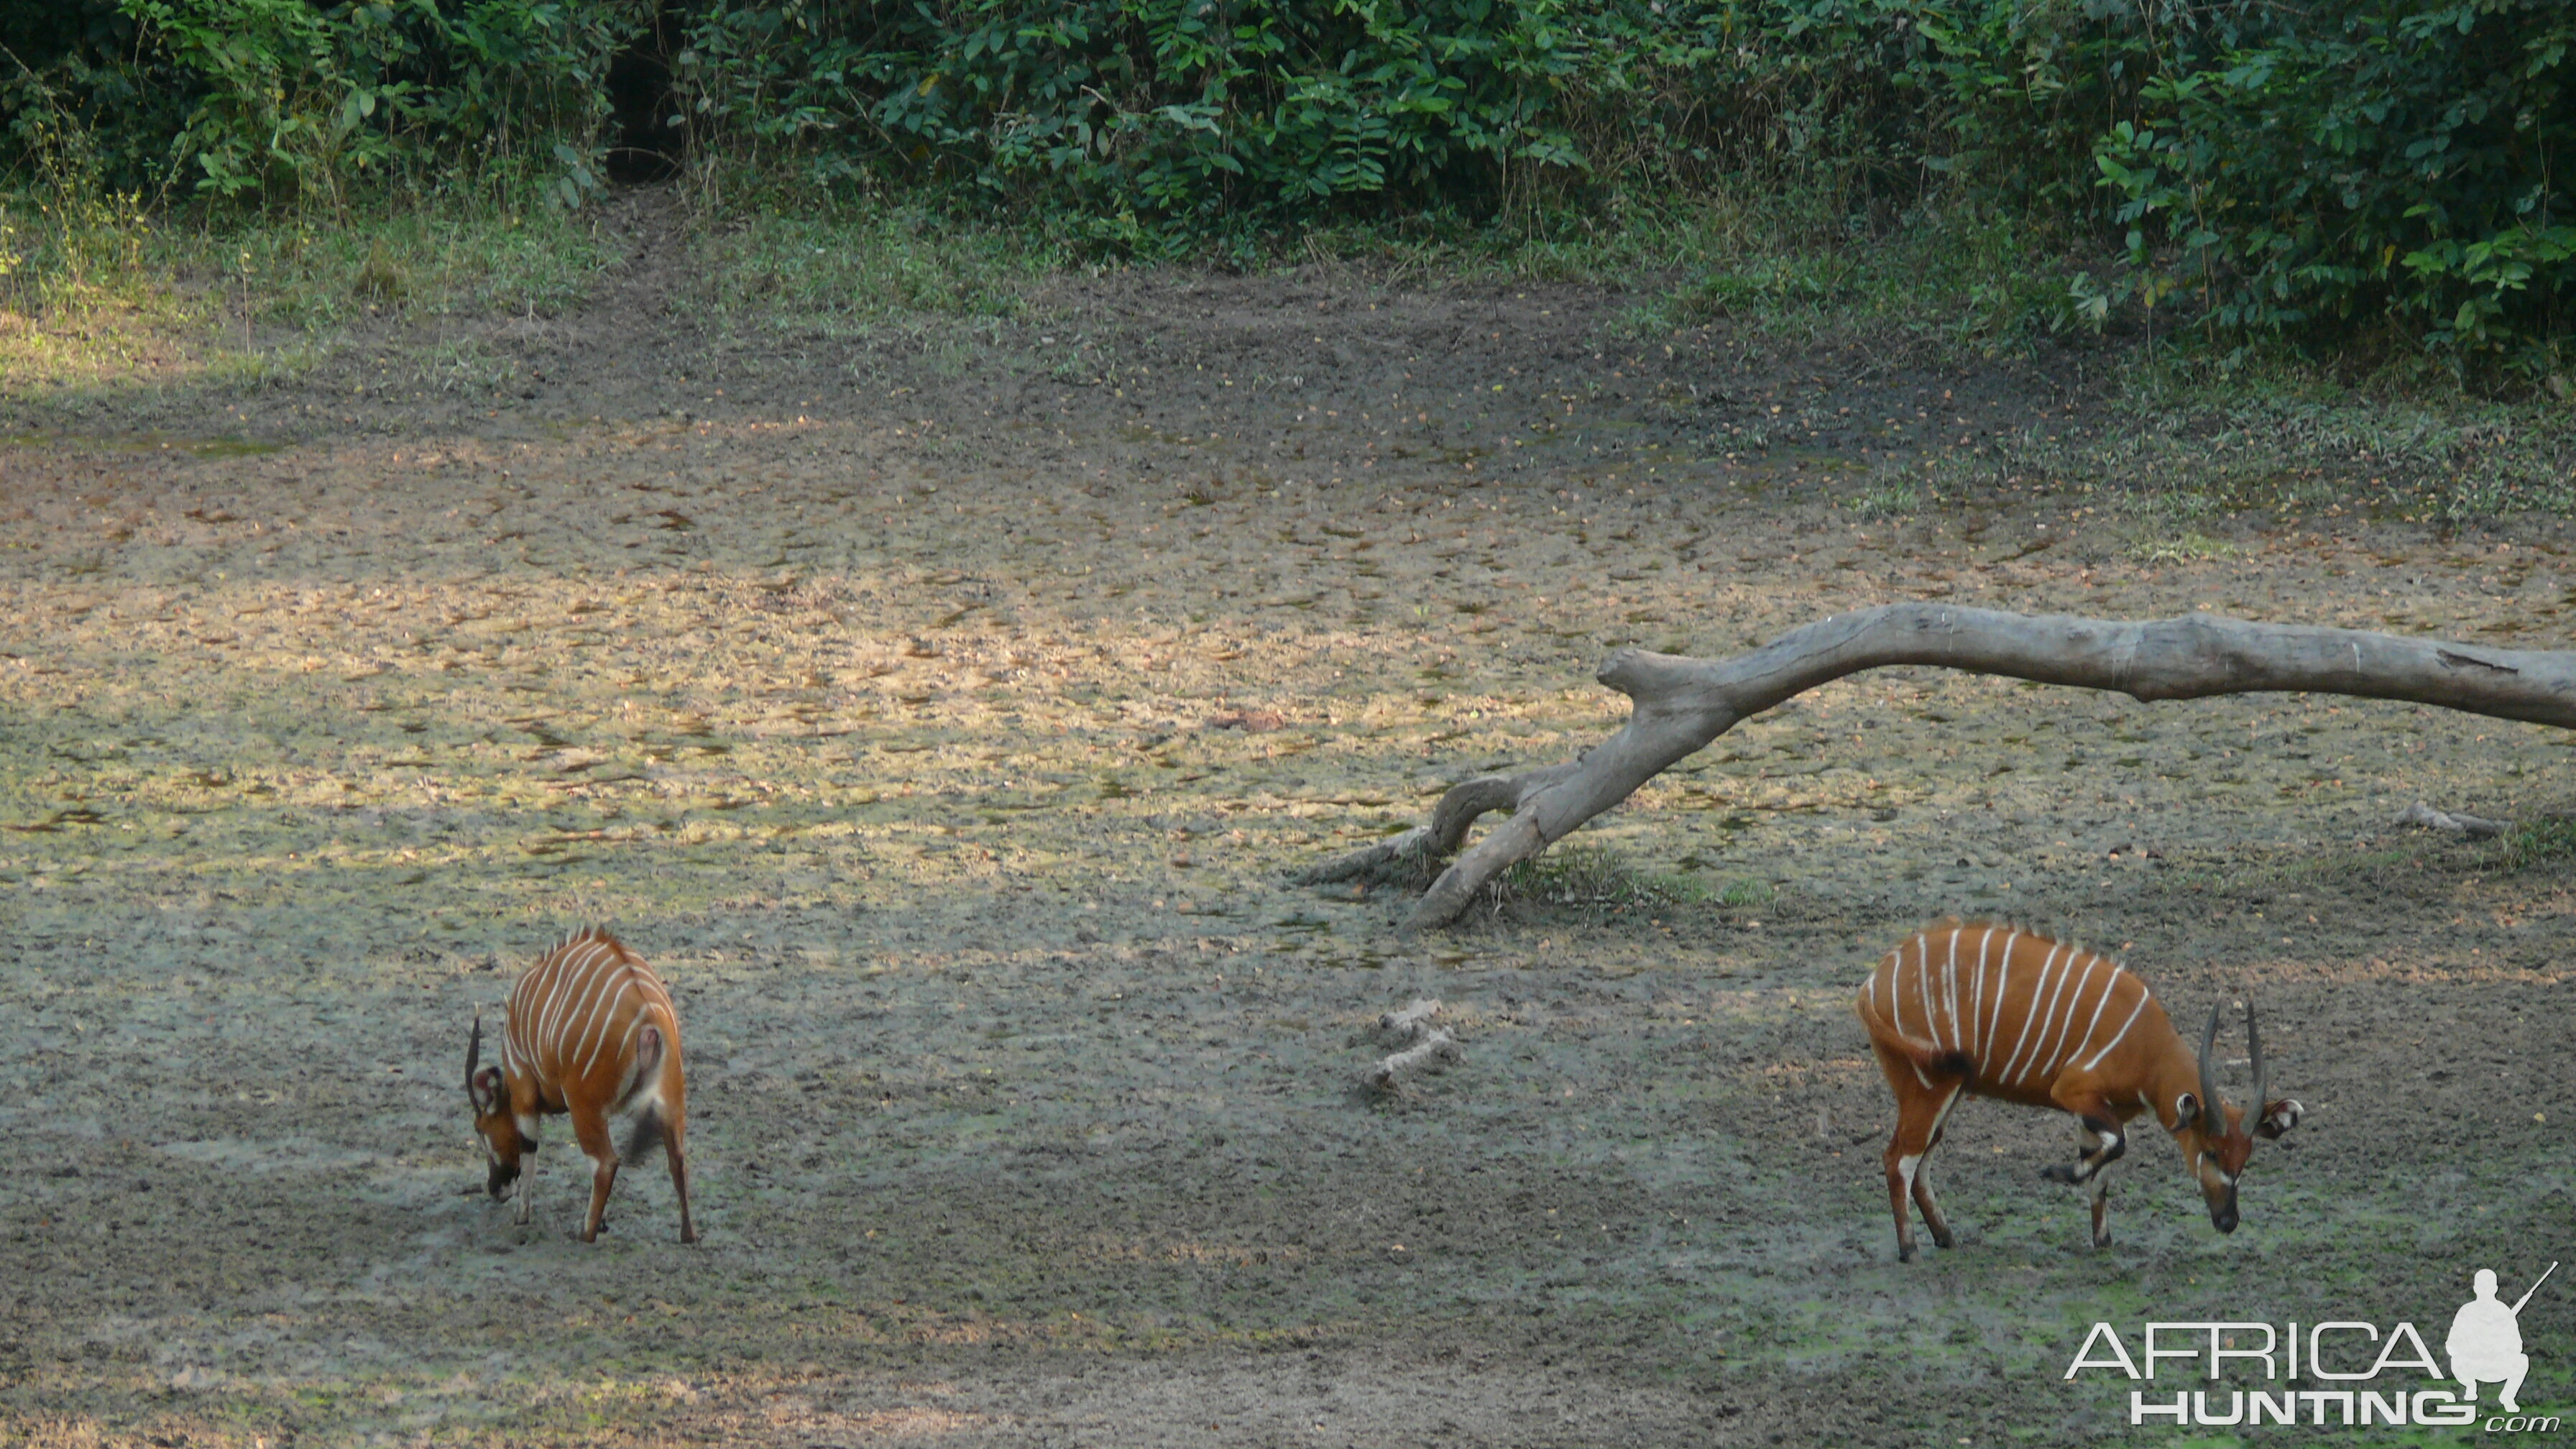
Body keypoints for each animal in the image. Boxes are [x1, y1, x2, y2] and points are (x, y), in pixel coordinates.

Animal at [466, 923, 700, 1243]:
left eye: (480, 1128)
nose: (495, 1189)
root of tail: (649, 1018)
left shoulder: (523, 1088)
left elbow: (529, 1154)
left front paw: (521, 1217)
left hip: (583, 1107)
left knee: (605, 1164)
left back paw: (585, 1233)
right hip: (670, 1102)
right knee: (677, 1159)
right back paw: (687, 1234)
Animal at [1844, 918, 2308, 1258]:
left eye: (2244, 1158)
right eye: (2210, 1152)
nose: (2228, 1221)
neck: (2145, 1044)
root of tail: (1873, 982)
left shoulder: (2096, 1113)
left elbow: (2101, 1171)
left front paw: (2103, 1241)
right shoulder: (2073, 1094)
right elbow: (2116, 1146)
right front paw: (2056, 1173)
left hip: (1949, 1092)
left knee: (1919, 1161)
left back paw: (1946, 1236)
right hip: (1929, 1088)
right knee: (1898, 1159)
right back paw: (1909, 1249)